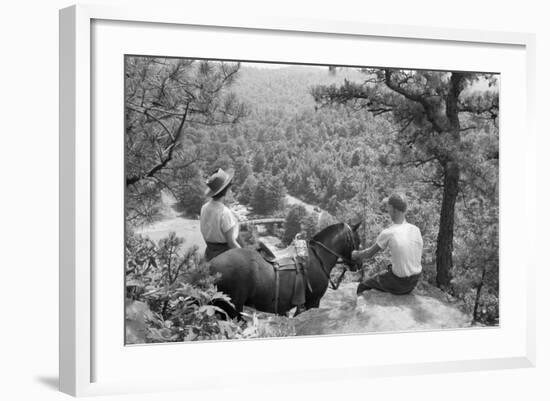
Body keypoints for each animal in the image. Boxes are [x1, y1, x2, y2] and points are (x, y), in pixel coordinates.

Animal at [208, 220, 362, 318]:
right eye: (357, 241)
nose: (358, 264)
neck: (318, 256)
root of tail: (211, 266)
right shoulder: (313, 302)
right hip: (231, 309)